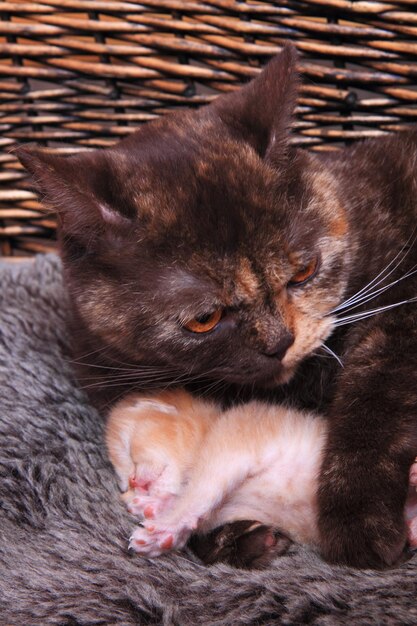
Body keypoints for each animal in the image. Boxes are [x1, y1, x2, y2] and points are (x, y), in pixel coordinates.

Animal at [105, 388, 416, 564]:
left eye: (129, 452)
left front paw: (162, 529)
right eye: (122, 481)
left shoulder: (228, 451)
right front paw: (151, 507)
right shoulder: (231, 509)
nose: (133, 482)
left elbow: (198, 494)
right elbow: (199, 511)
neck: (208, 431)